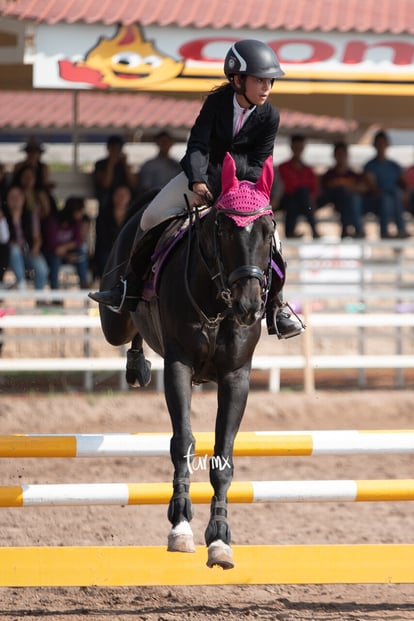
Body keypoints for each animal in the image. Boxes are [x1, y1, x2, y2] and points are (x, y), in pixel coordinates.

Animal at [97, 153, 278, 568]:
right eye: (223, 230)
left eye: (268, 230)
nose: (248, 306)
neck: (217, 302)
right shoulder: (178, 366)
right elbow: (183, 441)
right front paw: (180, 525)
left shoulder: (236, 377)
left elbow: (223, 457)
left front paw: (221, 538)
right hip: (115, 319)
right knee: (126, 320)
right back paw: (135, 363)